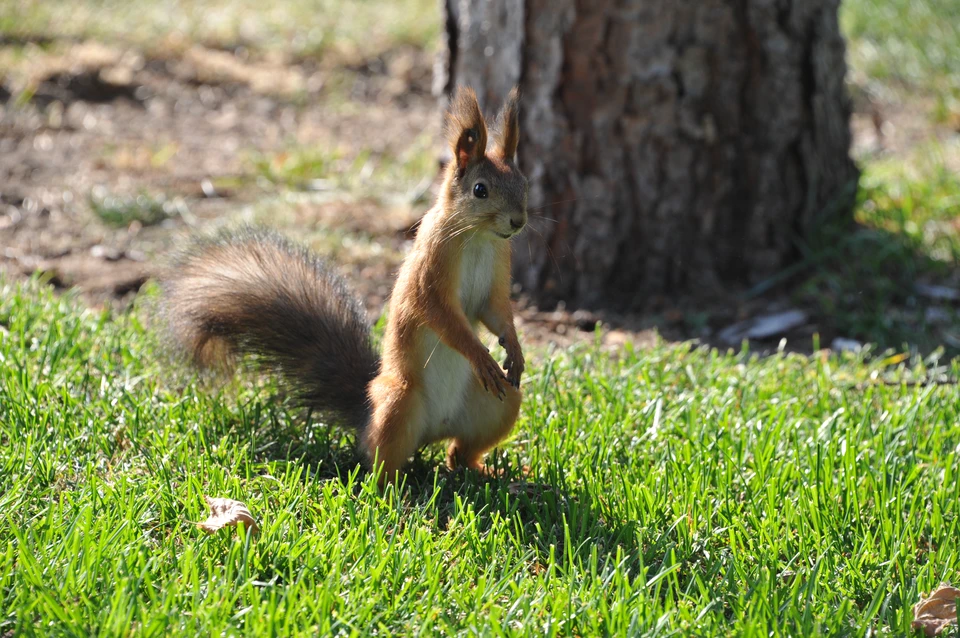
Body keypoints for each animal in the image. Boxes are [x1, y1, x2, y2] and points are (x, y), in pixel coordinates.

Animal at [160, 86, 528, 484]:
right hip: (400, 402)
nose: (519, 222)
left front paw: (514, 349)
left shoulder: (499, 268)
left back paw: (490, 472)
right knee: (380, 462)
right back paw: (397, 491)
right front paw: (479, 354)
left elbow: (496, 312)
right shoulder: (430, 272)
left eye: (524, 183)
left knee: (459, 452)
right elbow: (442, 317)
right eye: (480, 190)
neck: (478, 237)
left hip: (499, 404)